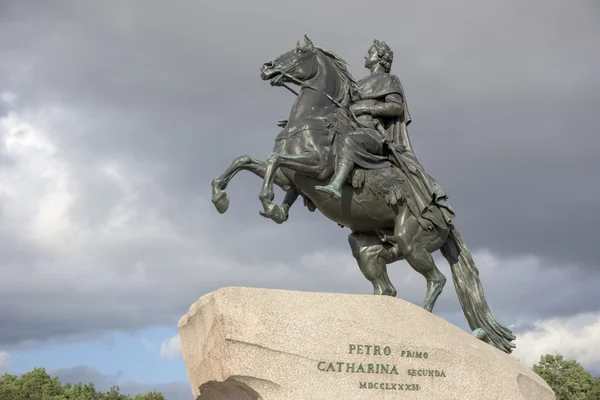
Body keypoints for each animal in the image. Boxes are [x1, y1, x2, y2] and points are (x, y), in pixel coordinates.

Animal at [211, 34, 516, 354]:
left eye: (299, 52)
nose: (266, 67)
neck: (313, 119)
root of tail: (447, 220)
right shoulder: (289, 179)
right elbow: (245, 160)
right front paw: (221, 197)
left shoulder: (317, 167)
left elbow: (273, 160)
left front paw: (269, 204)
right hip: (367, 247)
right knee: (387, 287)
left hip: (411, 242)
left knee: (437, 279)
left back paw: (425, 320)